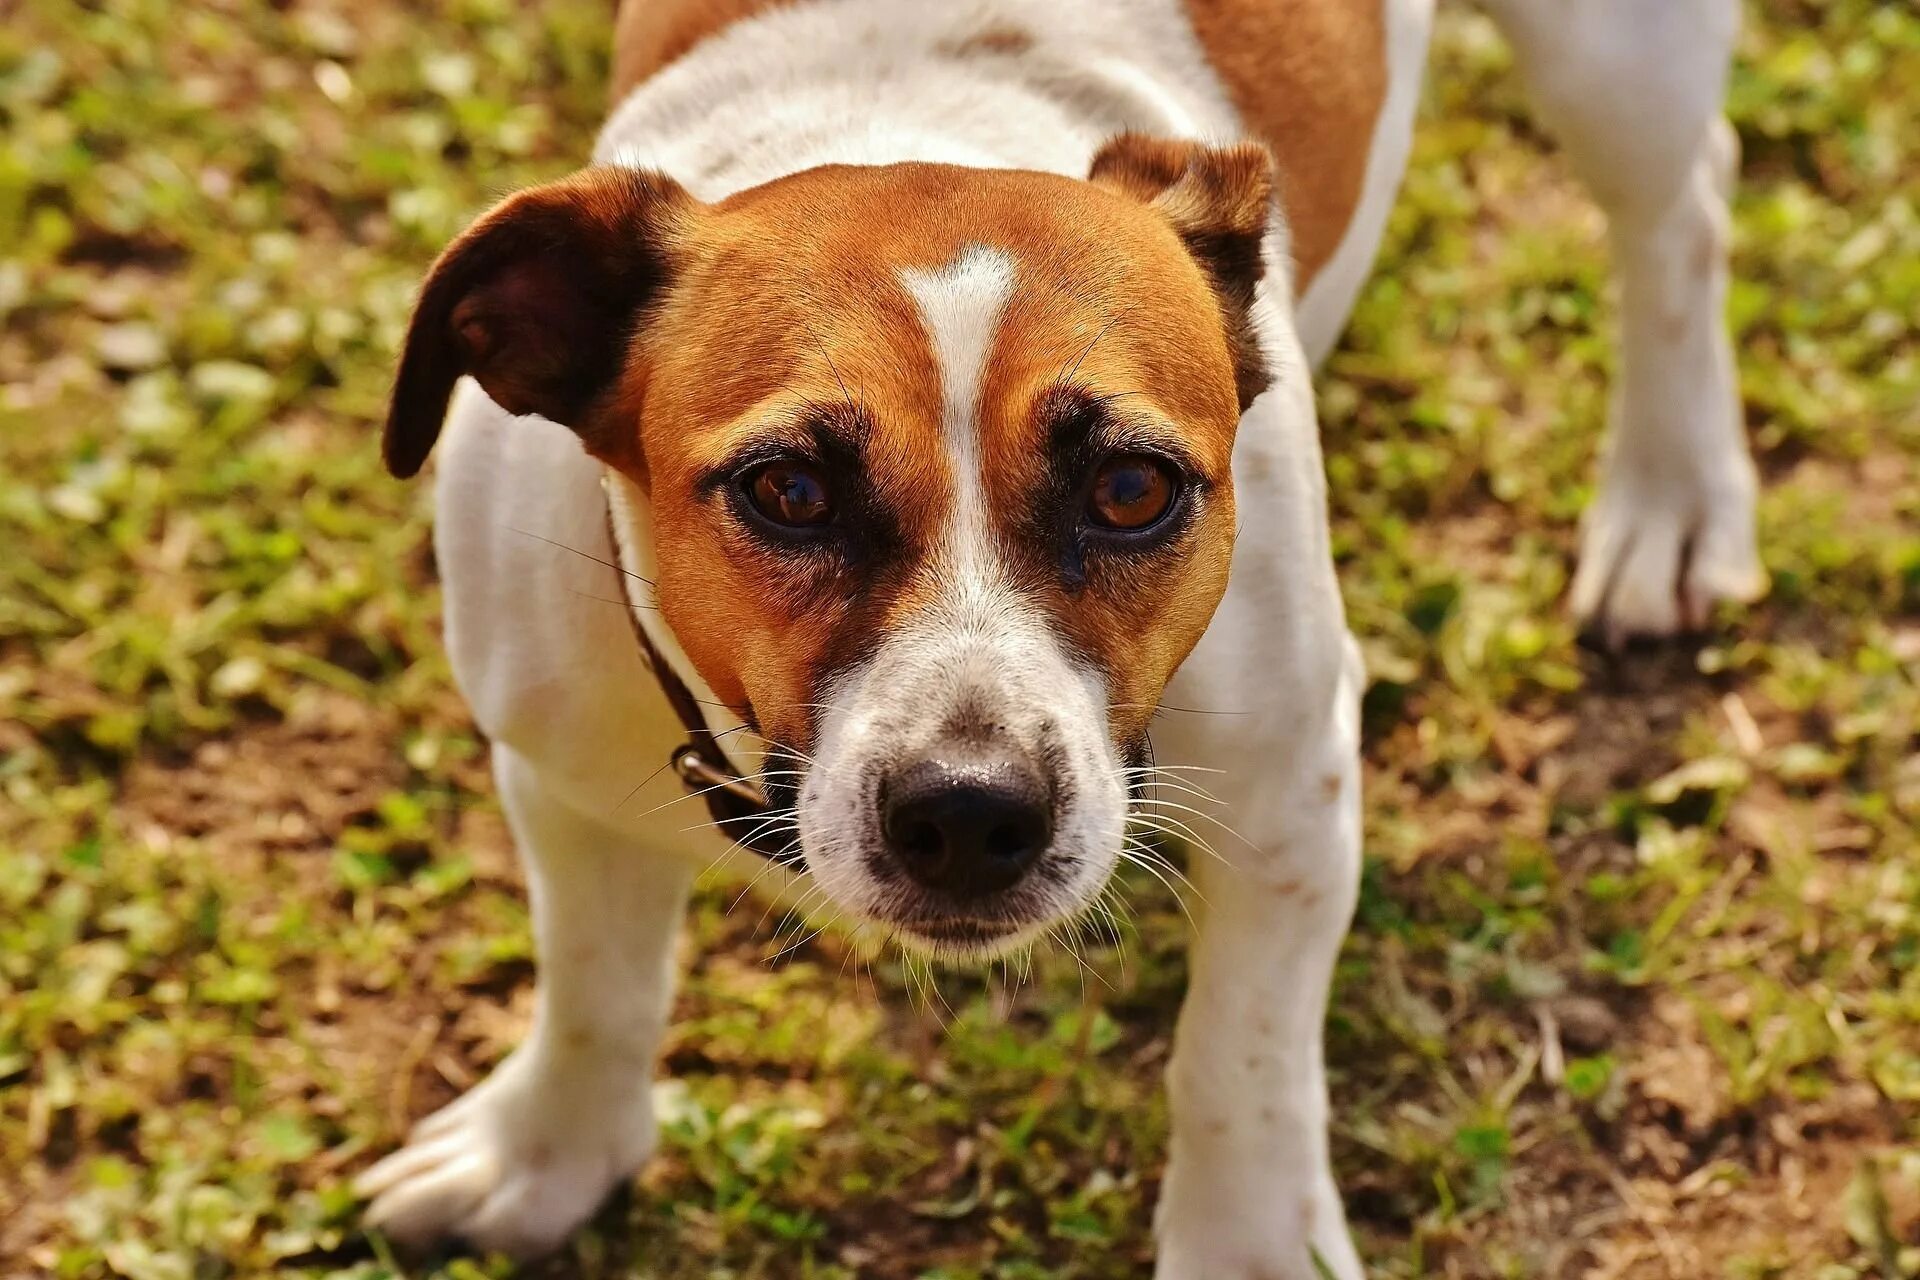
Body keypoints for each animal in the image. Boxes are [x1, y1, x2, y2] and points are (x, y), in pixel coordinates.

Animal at [353, 0, 1758, 1274]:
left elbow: (1241, 1064)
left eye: (1133, 488)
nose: (970, 812)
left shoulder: (1290, 793)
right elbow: (594, 983)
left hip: (1615, 62)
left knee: (1682, 206)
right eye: (786, 490)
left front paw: (1248, 1248)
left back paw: (1675, 497)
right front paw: (545, 1156)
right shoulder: (561, 774)